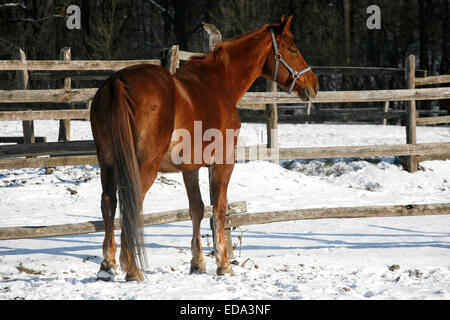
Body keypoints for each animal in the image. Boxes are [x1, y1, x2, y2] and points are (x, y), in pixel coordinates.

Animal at [89, 15, 318, 282]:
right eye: (293, 49)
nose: (314, 85)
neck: (218, 83)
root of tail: (117, 82)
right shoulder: (223, 162)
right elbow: (218, 209)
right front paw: (224, 265)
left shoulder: (190, 167)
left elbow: (196, 209)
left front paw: (197, 263)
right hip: (143, 165)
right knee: (131, 203)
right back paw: (133, 269)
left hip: (108, 163)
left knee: (108, 202)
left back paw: (107, 266)